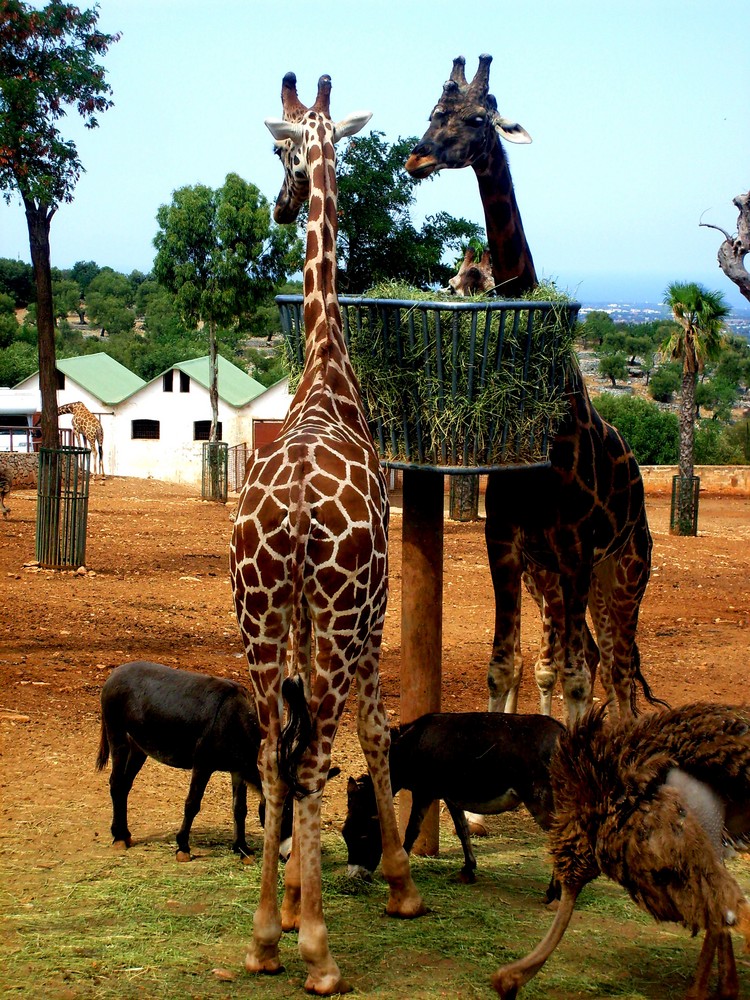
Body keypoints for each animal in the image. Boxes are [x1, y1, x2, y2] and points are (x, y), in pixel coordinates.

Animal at [406, 54, 656, 724]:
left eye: (476, 118)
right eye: (432, 112)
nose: (416, 158)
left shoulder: (574, 550)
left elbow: (573, 678)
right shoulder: (509, 545)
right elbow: (505, 665)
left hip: (624, 569)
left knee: (618, 670)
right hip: (570, 577)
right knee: (597, 661)